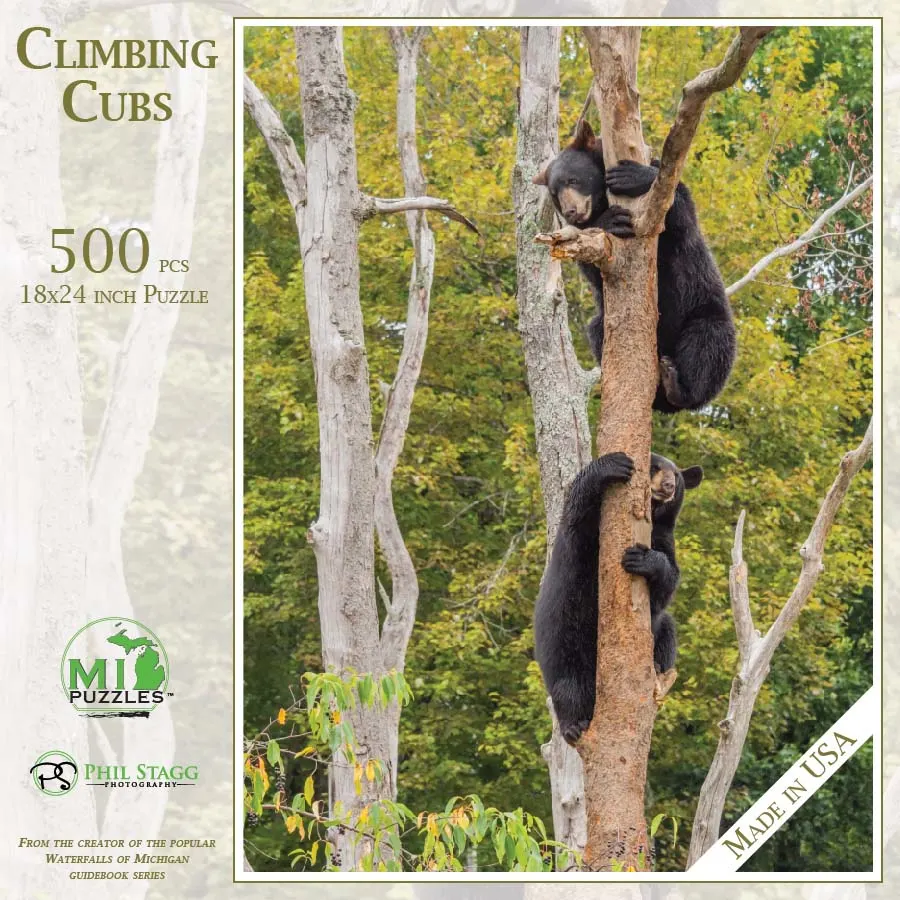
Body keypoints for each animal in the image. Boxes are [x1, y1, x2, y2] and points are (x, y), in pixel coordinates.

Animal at [533, 120, 736, 413]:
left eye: (573, 179)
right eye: (554, 192)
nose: (571, 211)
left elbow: (679, 213)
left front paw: (633, 176)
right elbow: (592, 265)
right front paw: (611, 220)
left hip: (702, 308)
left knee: (708, 345)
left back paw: (678, 386)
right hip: (604, 322)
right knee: (597, 331)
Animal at [533, 451, 703, 746]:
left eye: (677, 475)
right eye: (653, 467)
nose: (668, 485)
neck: (651, 519)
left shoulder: (664, 538)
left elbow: (667, 583)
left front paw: (644, 559)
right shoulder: (581, 541)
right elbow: (578, 515)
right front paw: (613, 464)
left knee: (667, 633)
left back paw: (656, 664)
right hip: (561, 645)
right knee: (568, 687)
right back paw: (574, 726)